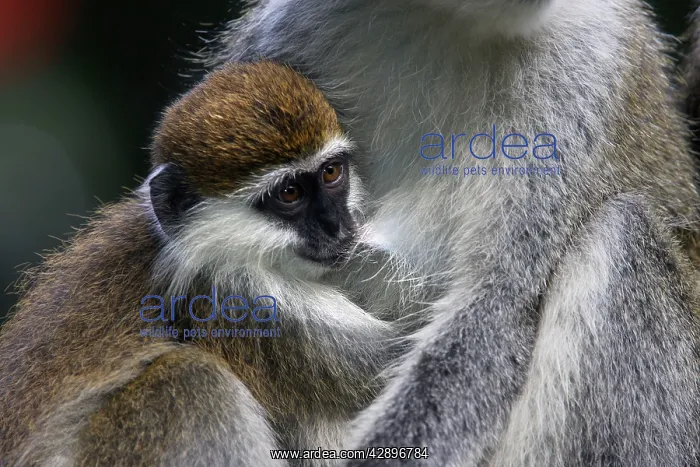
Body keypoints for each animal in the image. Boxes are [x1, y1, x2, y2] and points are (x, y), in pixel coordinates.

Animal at [0, 60, 413, 466]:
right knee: (192, 377)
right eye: (290, 193)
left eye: (331, 172)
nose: (336, 225)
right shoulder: (243, 301)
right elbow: (394, 358)